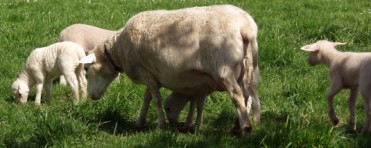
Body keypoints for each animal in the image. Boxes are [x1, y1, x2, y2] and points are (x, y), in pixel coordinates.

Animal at [79, 4, 258, 134]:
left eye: (86, 69)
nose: (92, 96)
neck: (119, 51)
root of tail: (245, 26)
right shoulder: (151, 73)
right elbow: (147, 98)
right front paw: (140, 122)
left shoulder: (144, 71)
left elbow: (156, 99)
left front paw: (160, 125)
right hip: (247, 68)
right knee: (248, 95)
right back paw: (238, 125)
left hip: (223, 70)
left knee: (237, 96)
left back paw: (245, 128)